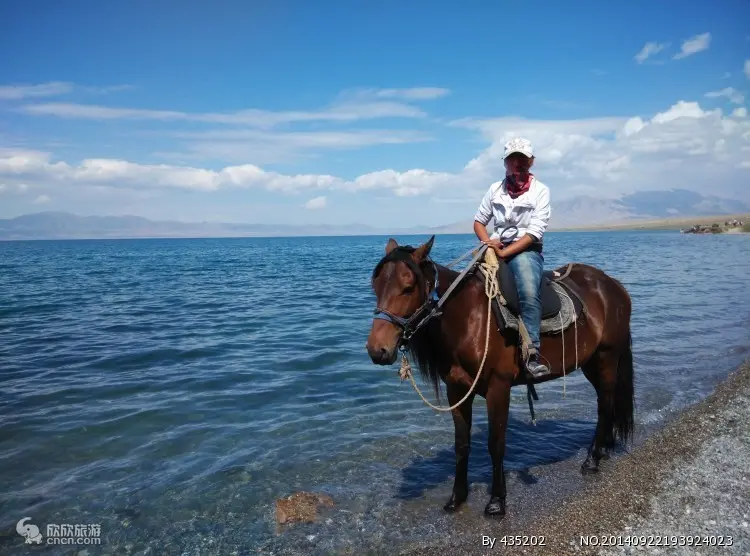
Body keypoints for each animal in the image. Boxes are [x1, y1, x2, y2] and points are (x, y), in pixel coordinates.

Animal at [364, 233, 636, 516]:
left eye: (408, 287)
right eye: (376, 286)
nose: (377, 349)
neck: (466, 318)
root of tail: (613, 286)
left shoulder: (498, 387)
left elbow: (496, 444)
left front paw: (497, 500)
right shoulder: (457, 390)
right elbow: (462, 444)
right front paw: (457, 498)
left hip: (607, 357)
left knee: (605, 405)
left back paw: (592, 460)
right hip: (591, 362)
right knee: (606, 401)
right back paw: (603, 449)